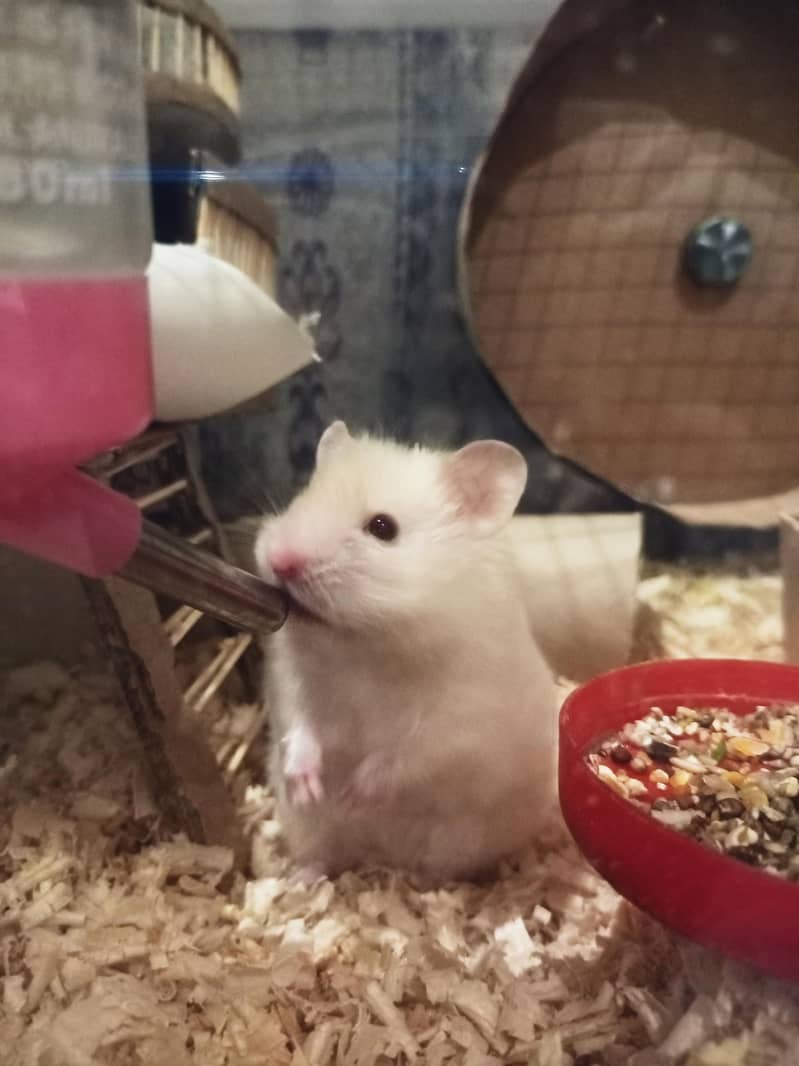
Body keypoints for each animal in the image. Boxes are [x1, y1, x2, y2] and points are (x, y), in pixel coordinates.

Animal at [255, 421, 558, 882]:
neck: (362, 643)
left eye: (383, 527)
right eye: (300, 499)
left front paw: (351, 796)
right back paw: (302, 881)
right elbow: (300, 724)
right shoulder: (289, 680)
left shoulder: (456, 721)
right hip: (312, 833)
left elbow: (404, 758)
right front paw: (308, 788)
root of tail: (381, 858)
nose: (280, 559)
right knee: (322, 856)